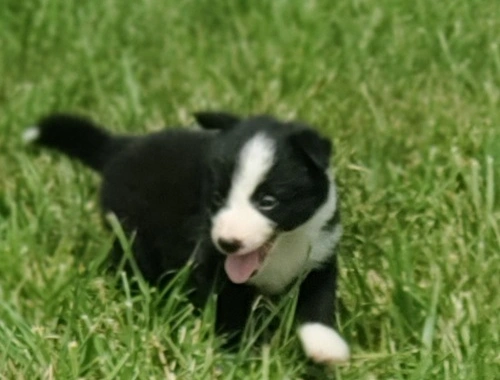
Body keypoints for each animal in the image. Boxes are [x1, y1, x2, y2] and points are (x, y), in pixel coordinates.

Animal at [23, 111, 350, 364]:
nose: (228, 243)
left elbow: (319, 303)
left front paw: (324, 345)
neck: (283, 248)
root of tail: (122, 147)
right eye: (217, 198)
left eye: (268, 201)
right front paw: (239, 353)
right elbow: (228, 309)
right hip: (133, 234)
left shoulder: (319, 253)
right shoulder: (211, 262)